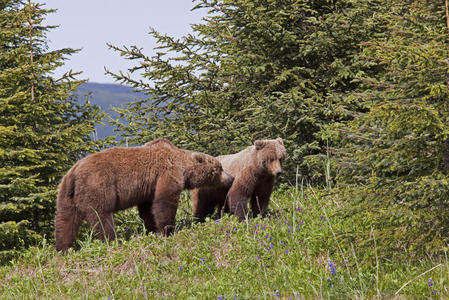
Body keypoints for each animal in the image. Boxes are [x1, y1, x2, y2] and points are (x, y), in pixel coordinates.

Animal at [54, 139, 233, 252]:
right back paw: (113, 240)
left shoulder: (149, 188)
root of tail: (74, 172)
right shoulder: (167, 172)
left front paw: (152, 229)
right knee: (101, 216)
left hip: (66, 193)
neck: (183, 167)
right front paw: (167, 230)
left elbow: (147, 209)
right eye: (219, 168)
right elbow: (165, 202)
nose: (231, 178)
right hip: (97, 186)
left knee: (65, 220)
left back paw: (63, 248)